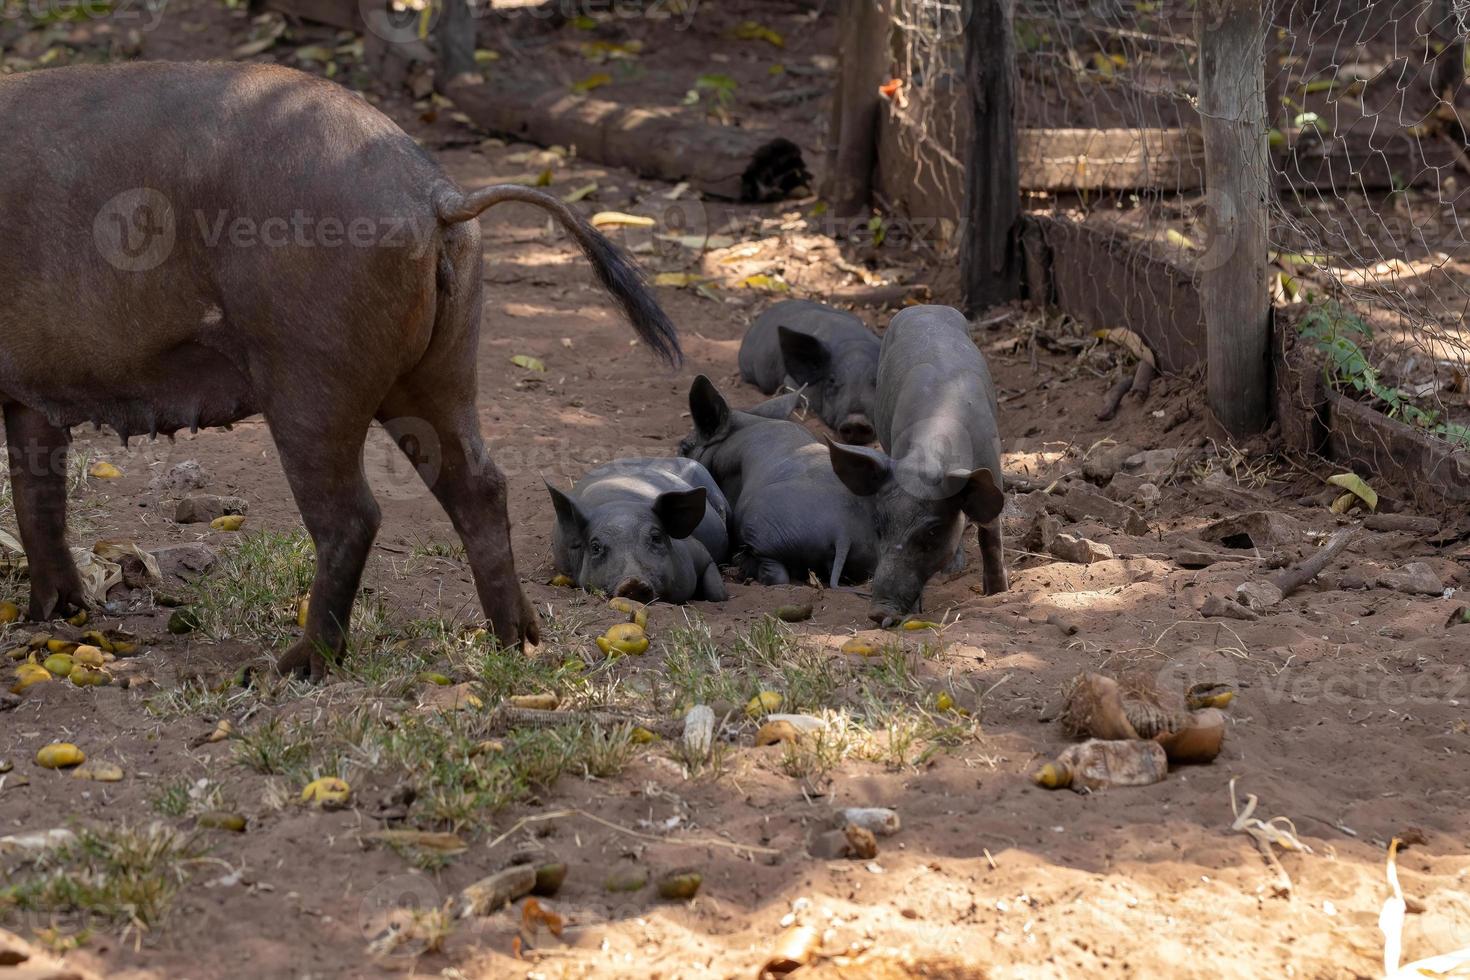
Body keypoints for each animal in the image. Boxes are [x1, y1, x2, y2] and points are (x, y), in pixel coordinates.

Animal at [0, 57, 676, 678]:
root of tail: (434, 194)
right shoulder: (27, 397)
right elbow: (37, 491)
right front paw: (54, 615)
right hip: (441, 364)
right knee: (479, 484)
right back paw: (516, 643)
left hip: (310, 375)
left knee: (353, 514)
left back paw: (294, 667)